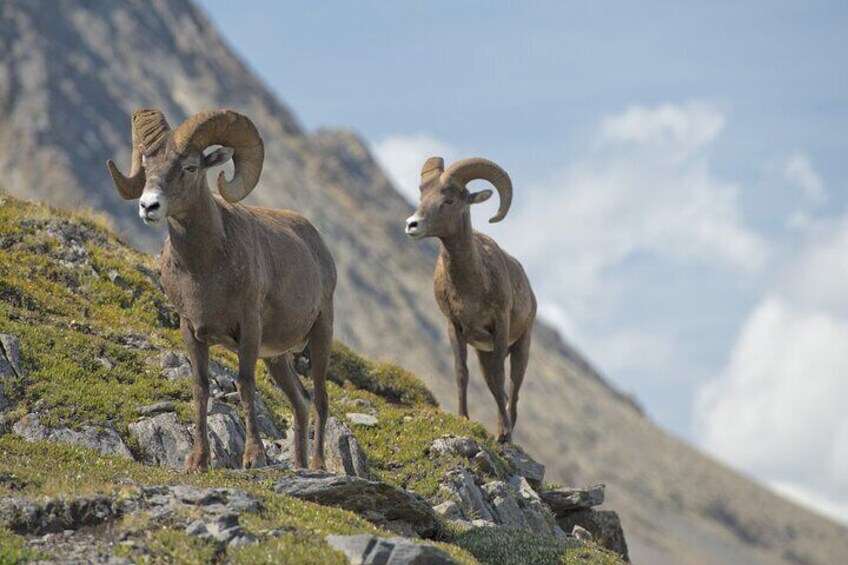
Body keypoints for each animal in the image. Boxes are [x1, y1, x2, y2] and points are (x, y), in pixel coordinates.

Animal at [109, 109, 338, 472]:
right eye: (148, 165)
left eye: (190, 167)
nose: (148, 206)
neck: (204, 267)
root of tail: (318, 245)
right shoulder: (190, 330)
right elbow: (201, 388)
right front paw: (197, 461)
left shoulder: (248, 327)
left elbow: (244, 384)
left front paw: (253, 458)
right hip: (277, 358)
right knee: (300, 403)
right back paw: (300, 465)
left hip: (321, 334)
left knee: (319, 399)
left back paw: (316, 466)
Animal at [406, 156, 536, 442]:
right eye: (422, 196)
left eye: (448, 201)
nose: (411, 225)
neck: (471, 286)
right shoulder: (454, 327)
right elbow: (461, 372)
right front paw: (464, 417)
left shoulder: (500, 325)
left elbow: (500, 376)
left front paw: (504, 433)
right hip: (483, 353)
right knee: (498, 389)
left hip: (521, 346)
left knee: (513, 391)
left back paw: (506, 433)